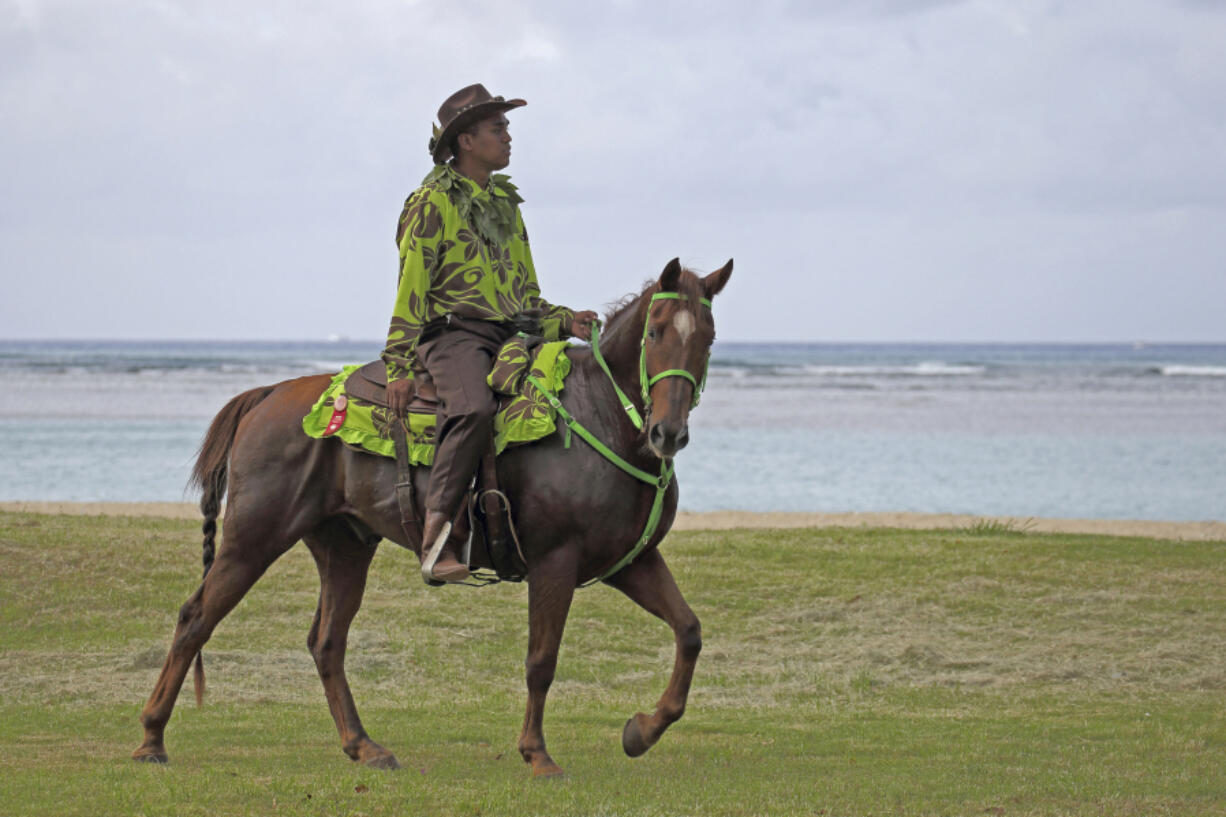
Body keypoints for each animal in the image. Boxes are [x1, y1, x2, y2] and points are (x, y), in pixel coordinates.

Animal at [134, 257, 725, 775]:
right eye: (655, 332)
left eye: (708, 339)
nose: (667, 433)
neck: (597, 414)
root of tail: (270, 393)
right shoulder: (555, 562)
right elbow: (541, 661)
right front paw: (537, 754)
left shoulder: (631, 561)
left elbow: (690, 631)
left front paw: (641, 731)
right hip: (254, 538)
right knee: (195, 619)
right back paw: (151, 739)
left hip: (343, 546)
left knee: (327, 642)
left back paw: (365, 746)